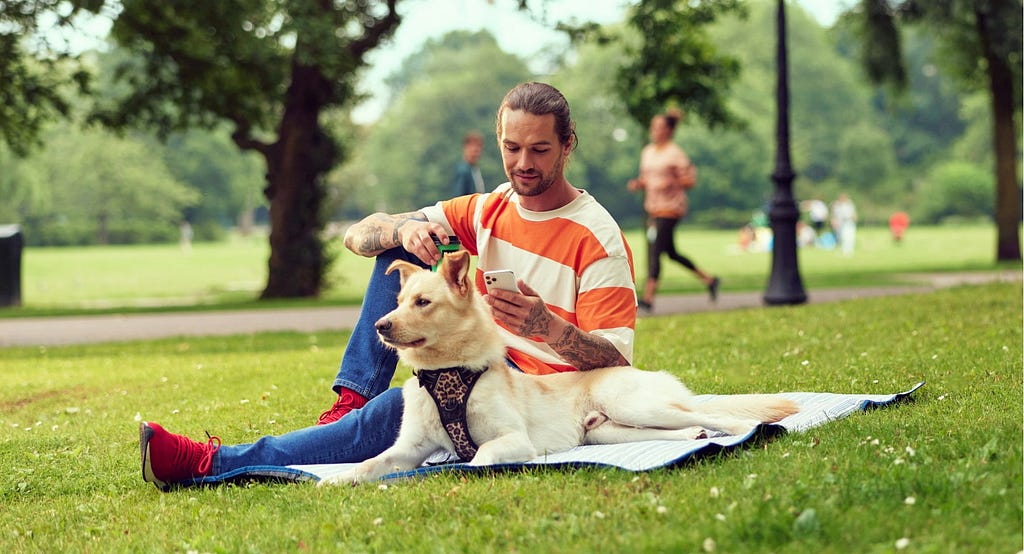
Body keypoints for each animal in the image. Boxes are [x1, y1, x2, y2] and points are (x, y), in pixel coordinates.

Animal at [315, 250, 794, 483]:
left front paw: (465, 469)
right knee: (679, 429)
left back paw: (741, 430)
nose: (380, 325)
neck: (448, 372)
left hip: (633, 405)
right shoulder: (408, 448)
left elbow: (480, 456)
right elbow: (371, 463)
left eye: (422, 303)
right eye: (397, 301)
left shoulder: (513, 439)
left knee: (718, 416)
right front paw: (338, 481)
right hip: (607, 431)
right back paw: (693, 437)